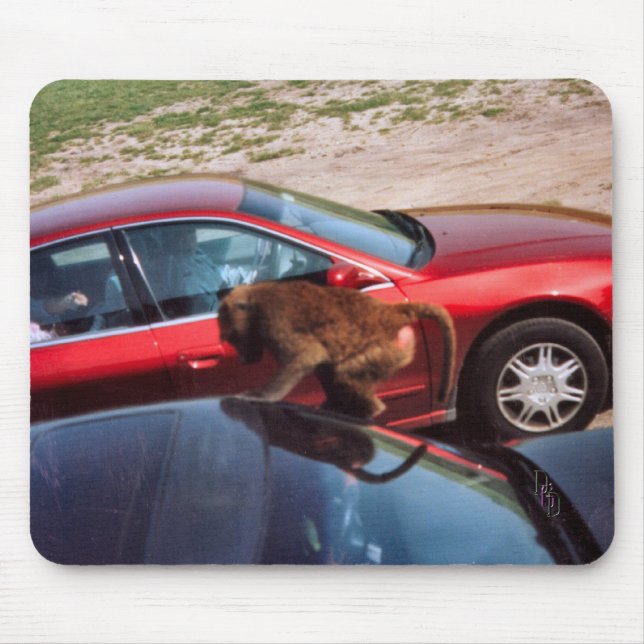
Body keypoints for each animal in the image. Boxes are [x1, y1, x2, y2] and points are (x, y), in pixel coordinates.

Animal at [218, 280, 456, 419]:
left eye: (232, 338)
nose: (242, 358)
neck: (257, 301)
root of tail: (390, 312)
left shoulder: (275, 319)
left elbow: (306, 356)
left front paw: (258, 396)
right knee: (329, 368)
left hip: (384, 350)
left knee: (344, 372)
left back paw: (369, 411)